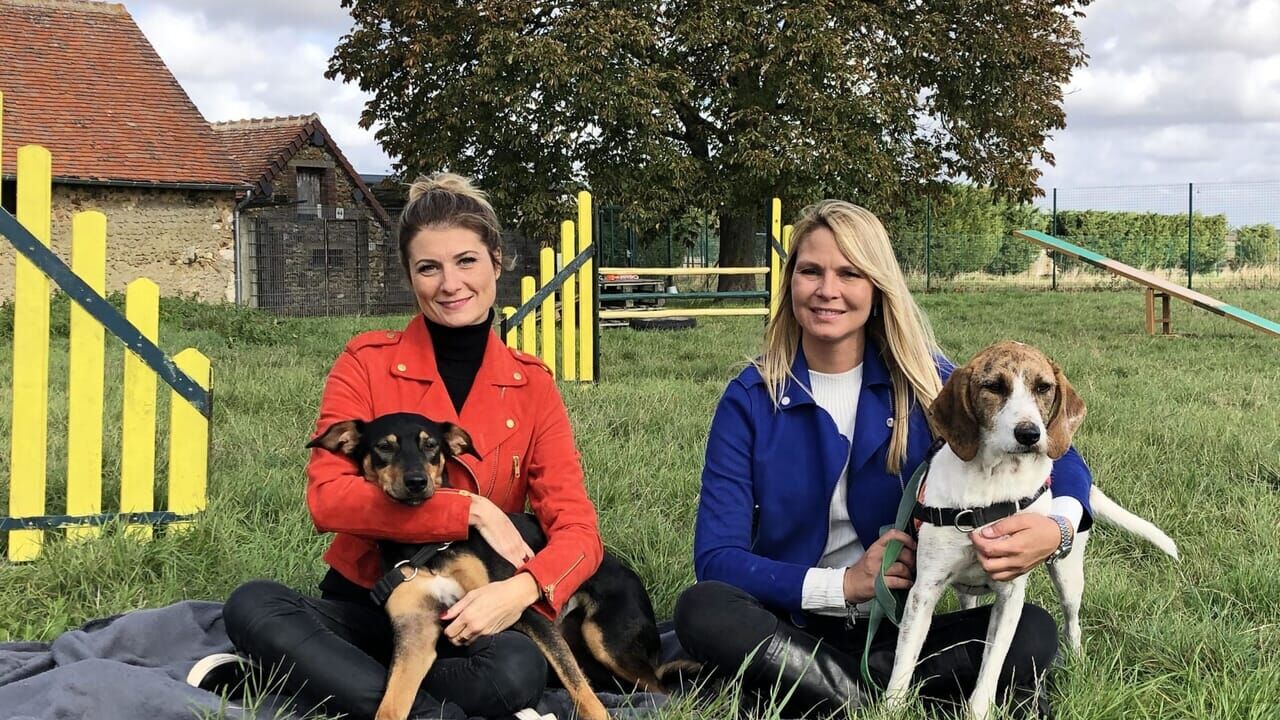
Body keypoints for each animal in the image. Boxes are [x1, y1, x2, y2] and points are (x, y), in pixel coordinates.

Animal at [308, 412, 684, 720]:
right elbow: (390, 706)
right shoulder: (415, 634)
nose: (416, 482)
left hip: (606, 641)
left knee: (660, 690)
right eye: (384, 447)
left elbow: (579, 688)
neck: (423, 544)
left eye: (430, 445)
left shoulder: (518, 609)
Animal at [883, 341, 1178, 720]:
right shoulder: (925, 590)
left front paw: (979, 711)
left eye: (1043, 387)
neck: (992, 482)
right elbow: (904, 662)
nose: (1029, 434)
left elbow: (991, 666)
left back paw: (1075, 661)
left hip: (1068, 575)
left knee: (1072, 621)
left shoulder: (1010, 594)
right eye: (994, 387)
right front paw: (890, 709)